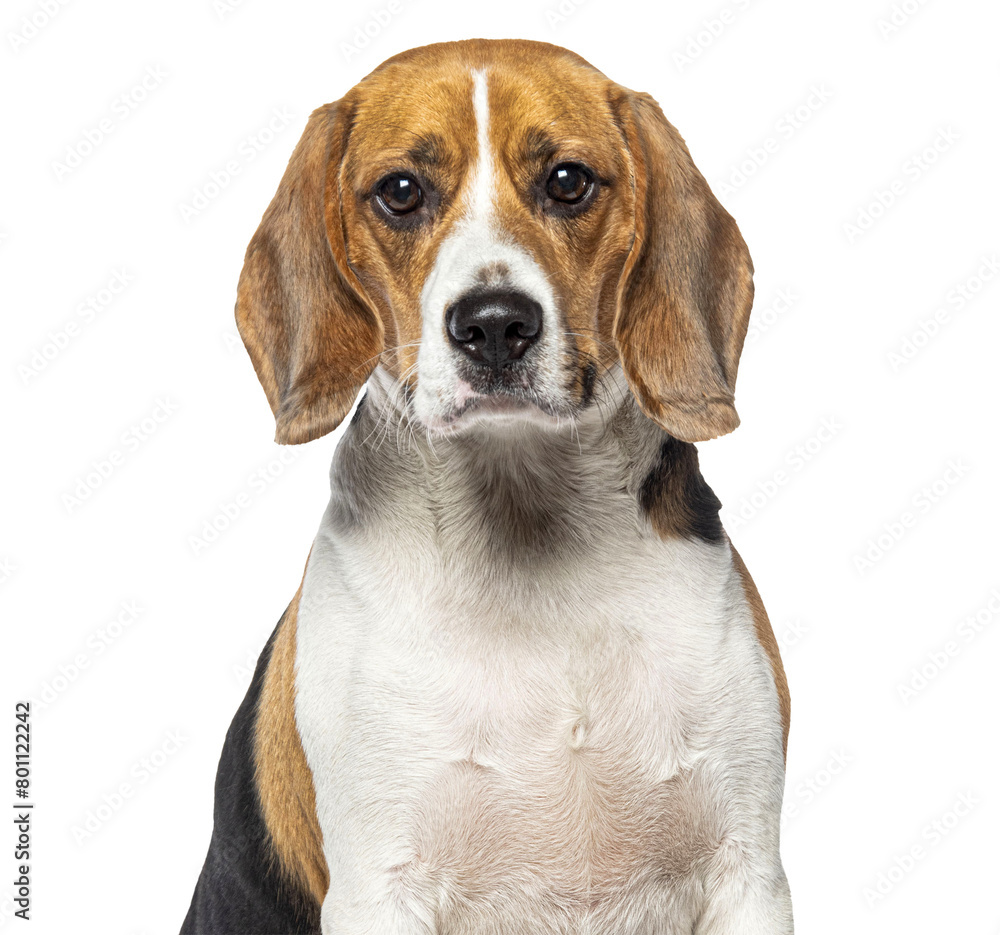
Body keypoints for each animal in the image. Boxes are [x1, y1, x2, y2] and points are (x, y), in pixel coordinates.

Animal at [180, 38, 788, 935]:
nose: (495, 324)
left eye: (568, 180)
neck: (525, 519)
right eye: (401, 192)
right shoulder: (381, 886)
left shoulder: (746, 870)